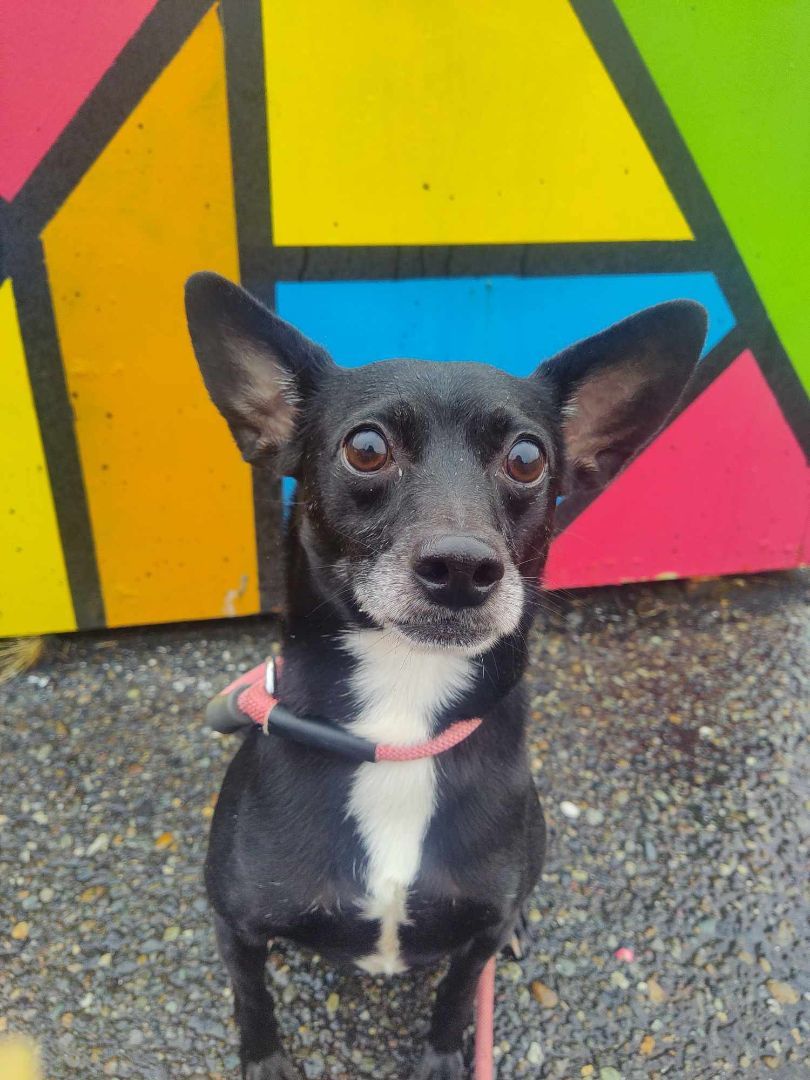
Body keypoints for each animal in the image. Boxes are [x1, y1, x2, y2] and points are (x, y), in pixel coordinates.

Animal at [186, 272, 708, 1080]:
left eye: (527, 458)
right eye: (366, 448)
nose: (463, 567)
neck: (398, 724)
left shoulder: (476, 935)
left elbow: (457, 1000)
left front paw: (439, 1058)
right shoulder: (235, 927)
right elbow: (254, 1004)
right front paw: (266, 1062)